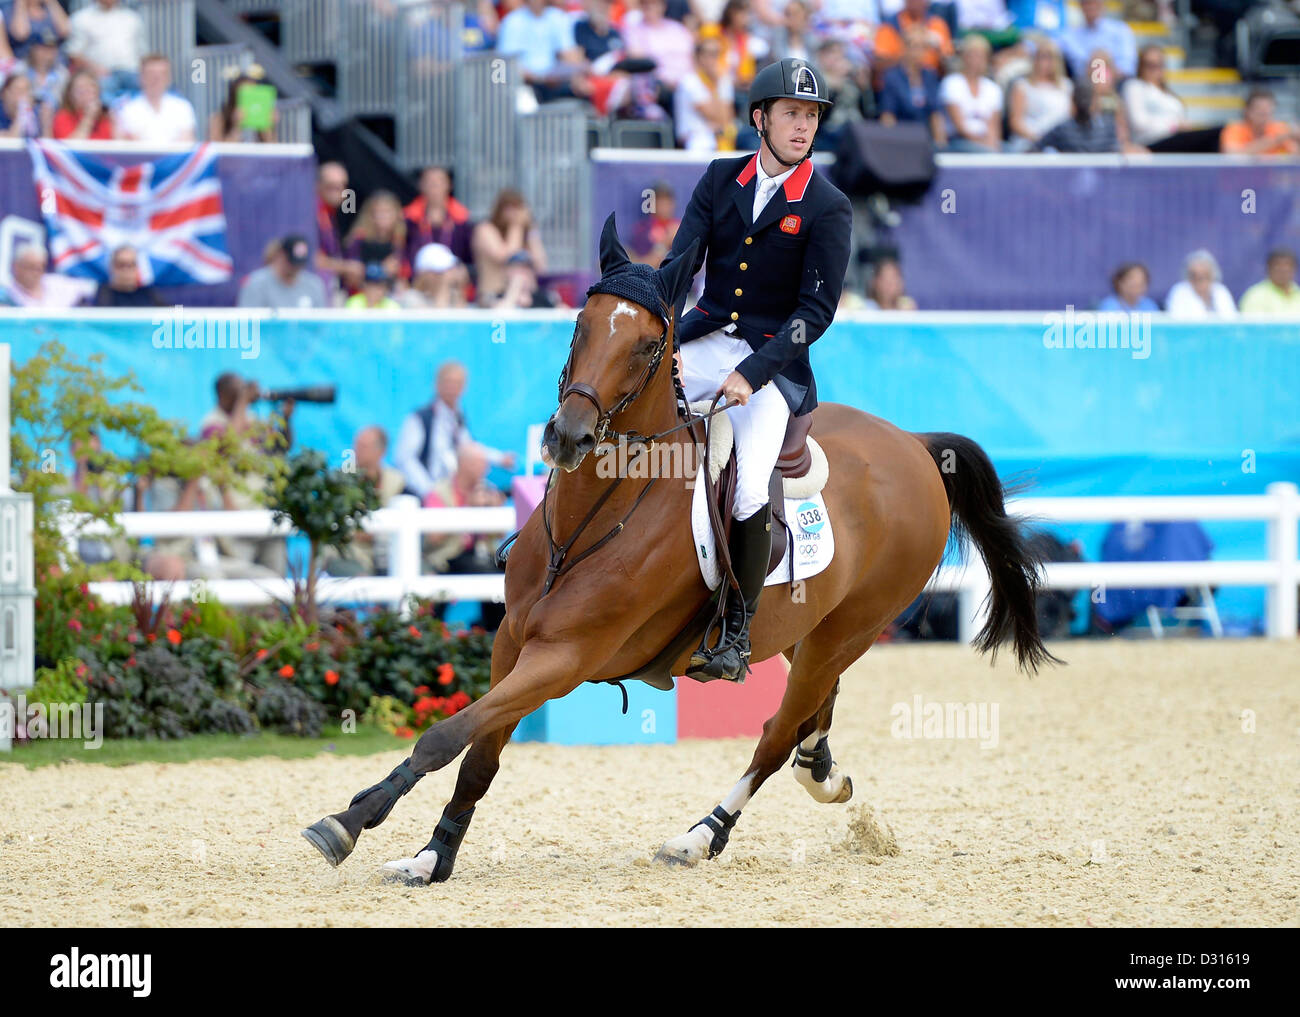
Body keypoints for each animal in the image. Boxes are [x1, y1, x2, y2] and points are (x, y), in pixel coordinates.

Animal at [301, 213, 1055, 884]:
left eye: (646, 345)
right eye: (580, 325)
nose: (568, 436)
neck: (593, 517)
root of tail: (914, 446)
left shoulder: (565, 657)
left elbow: (446, 734)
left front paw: (348, 820)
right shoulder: (512, 643)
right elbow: (478, 751)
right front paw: (432, 856)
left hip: (851, 626)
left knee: (778, 731)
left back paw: (699, 836)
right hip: (808, 629)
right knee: (814, 709)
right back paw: (824, 774)